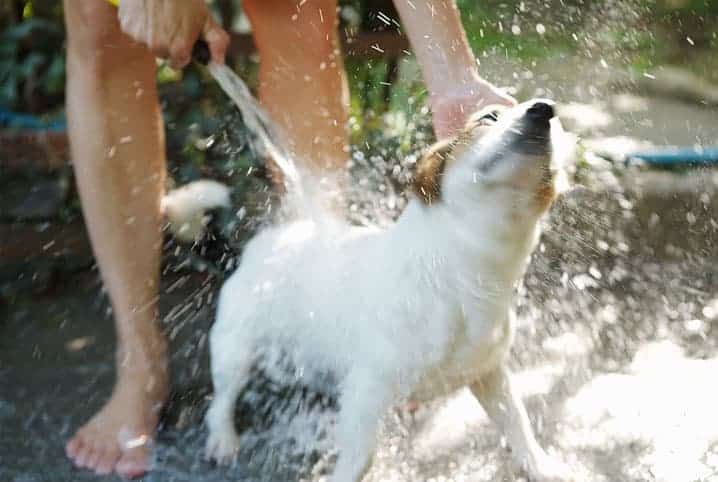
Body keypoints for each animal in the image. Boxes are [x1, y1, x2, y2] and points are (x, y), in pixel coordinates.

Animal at [205, 100, 576, 480]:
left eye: (558, 127)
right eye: (489, 117)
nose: (544, 109)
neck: (461, 272)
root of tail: (284, 233)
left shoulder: (489, 372)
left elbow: (517, 419)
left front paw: (540, 465)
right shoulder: (367, 392)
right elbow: (360, 458)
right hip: (234, 348)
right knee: (220, 400)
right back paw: (223, 439)